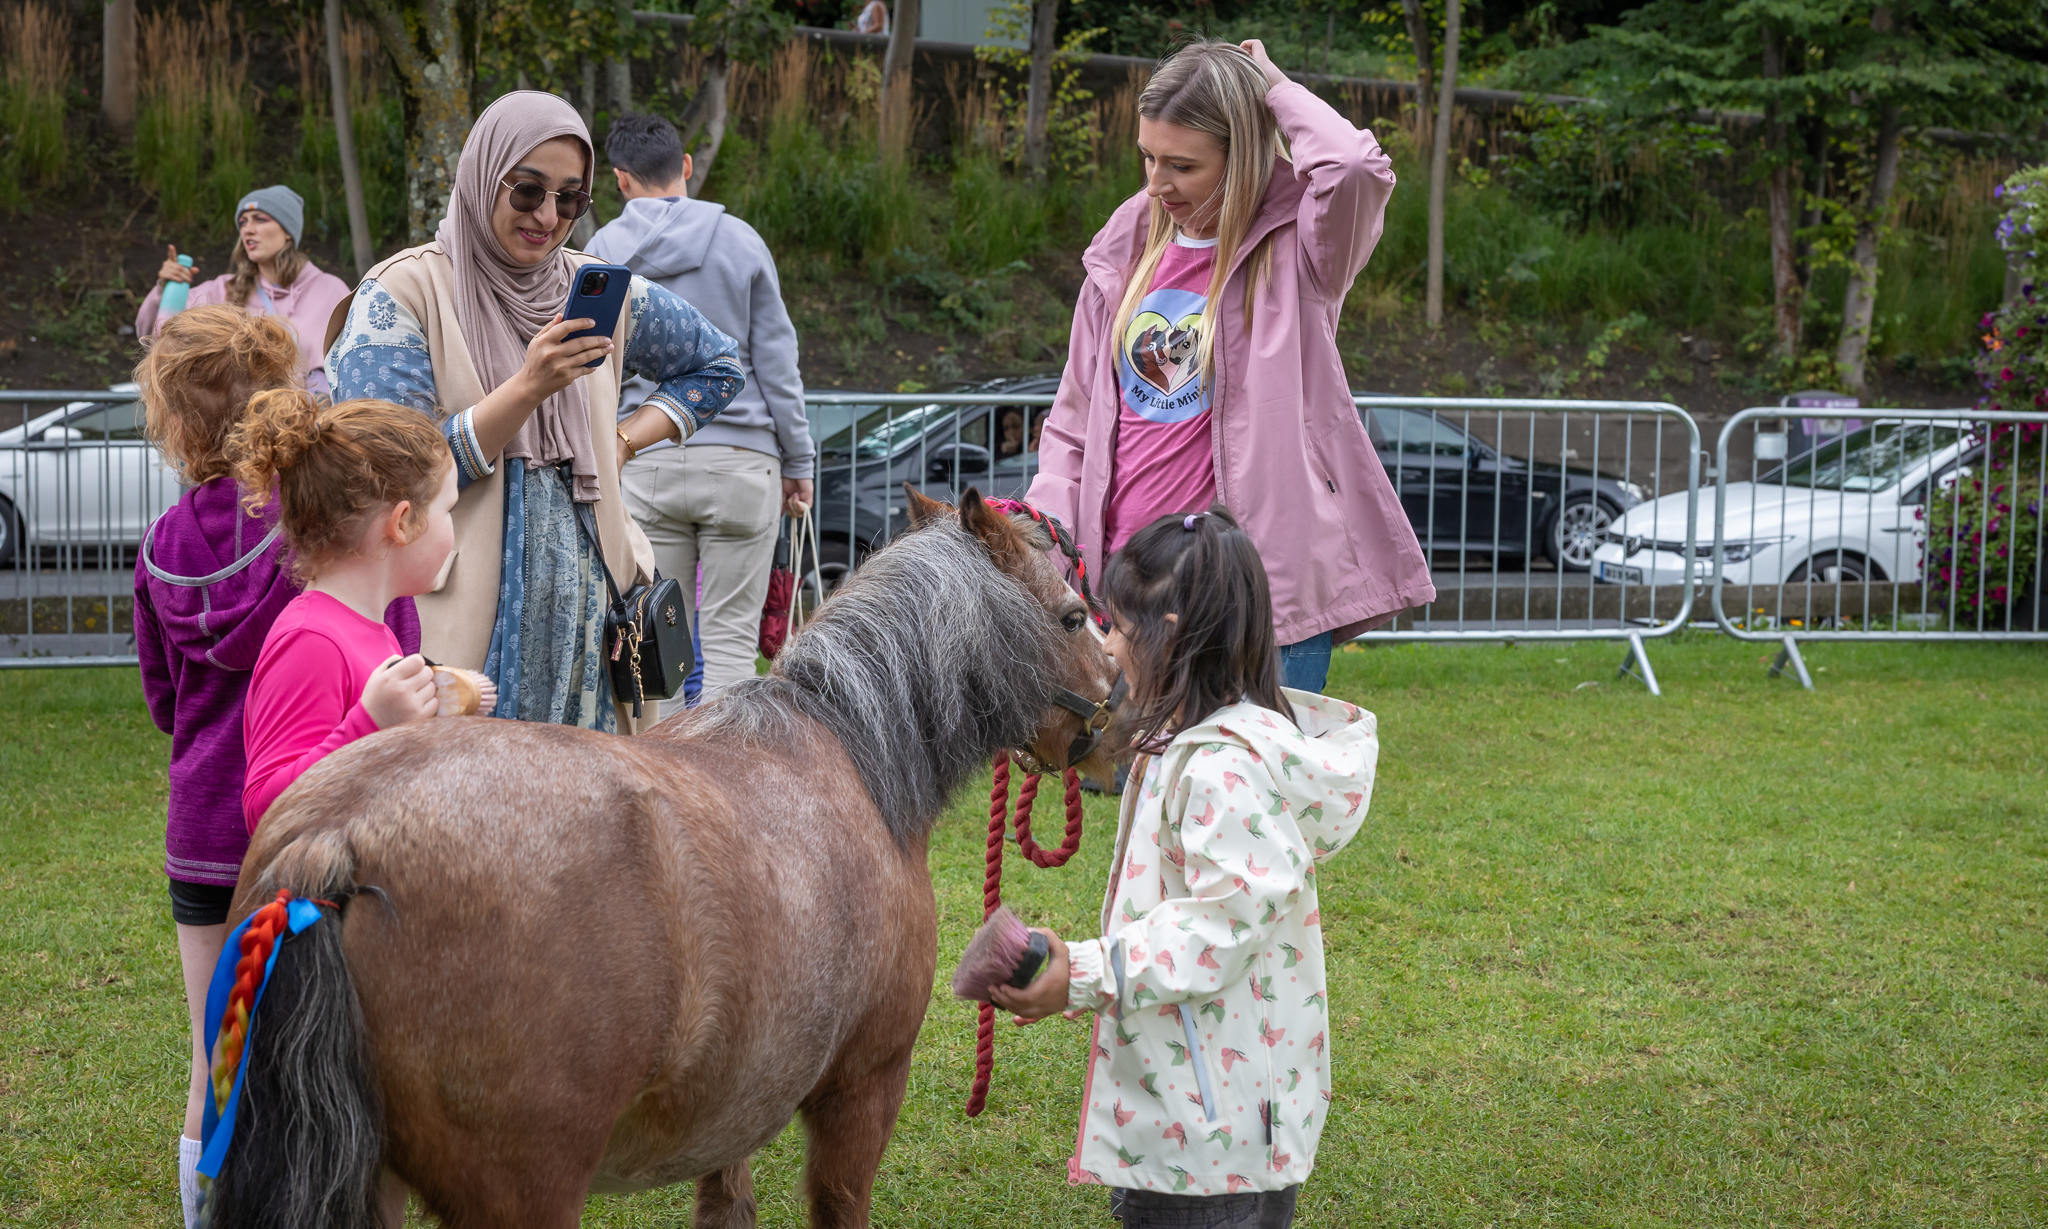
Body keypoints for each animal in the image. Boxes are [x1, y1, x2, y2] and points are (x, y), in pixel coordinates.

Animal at [207, 488, 1122, 1229]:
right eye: (1074, 615)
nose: (1120, 714)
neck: (853, 750)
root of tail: (339, 835)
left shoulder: (738, 1097)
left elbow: (726, 1203)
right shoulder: (863, 1088)